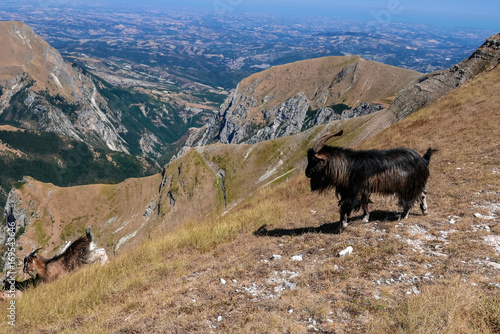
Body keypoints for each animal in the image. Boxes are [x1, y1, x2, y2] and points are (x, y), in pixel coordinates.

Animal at [302, 129, 436, 228]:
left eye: (314, 159)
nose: (307, 173)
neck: (348, 167)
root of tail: (422, 160)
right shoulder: (363, 189)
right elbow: (364, 203)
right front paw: (365, 218)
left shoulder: (354, 192)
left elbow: (345, 206)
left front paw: (343, 223)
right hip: (416, 183)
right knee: (422, 193)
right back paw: (424, 210)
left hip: (410, 184)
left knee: (411, 199)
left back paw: (403, 216)